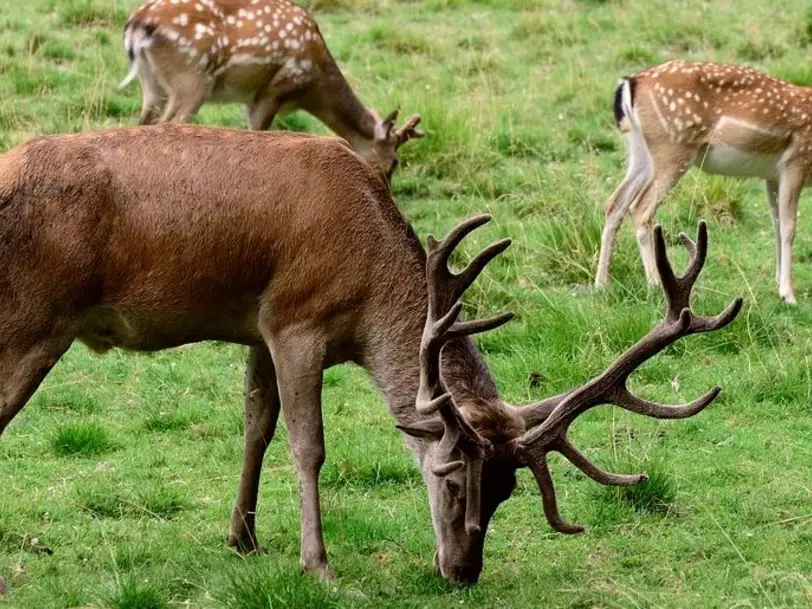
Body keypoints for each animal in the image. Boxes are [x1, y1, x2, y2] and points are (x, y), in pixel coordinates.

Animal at [0, 122, 744, 580]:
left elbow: (255, 426)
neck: (367, 295)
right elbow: (308, 445)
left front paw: (244, 538)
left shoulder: (259, 326)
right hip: (34, 318)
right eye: (453, 478)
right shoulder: (297, 321)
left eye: (506, 491)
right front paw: (318, 563)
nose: (463, 571)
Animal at [120, 0, 426, 180]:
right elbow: (258, 133)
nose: (385, 188)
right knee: (170, 123)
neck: (312, 86)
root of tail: (137, 24)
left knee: (144, 121)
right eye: (394, 162)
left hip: (153, 82)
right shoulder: (273, 90)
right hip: (192, 78)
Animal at [596, 59, 812, 302]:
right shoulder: (797, 161)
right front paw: (788, 295)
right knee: (640, 208)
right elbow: (789, 227)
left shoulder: (771, 175)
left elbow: (776, 224)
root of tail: (631, 82)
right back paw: (655, 285)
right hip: (672, 150)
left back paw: (601, 284)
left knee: (615, 203)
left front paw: (777, 283)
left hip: (640, 151)